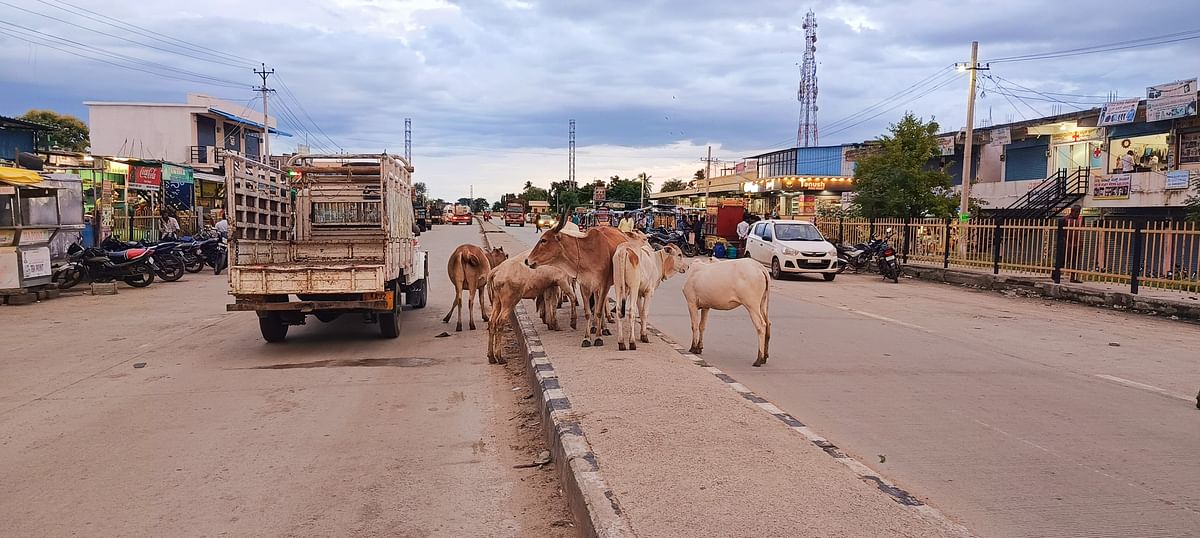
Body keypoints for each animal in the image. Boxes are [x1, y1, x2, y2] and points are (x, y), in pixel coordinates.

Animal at [530, 219, 633, 348]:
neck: (589, 253)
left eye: (543, 240)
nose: (528, 260)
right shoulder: (584, 285)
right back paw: (598, 327)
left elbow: (599, 311)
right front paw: (587, 338)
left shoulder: (604, 284)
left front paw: (598, 338)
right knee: (598, 302)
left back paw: (604, 328)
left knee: (602, 303)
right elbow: (588, 312)